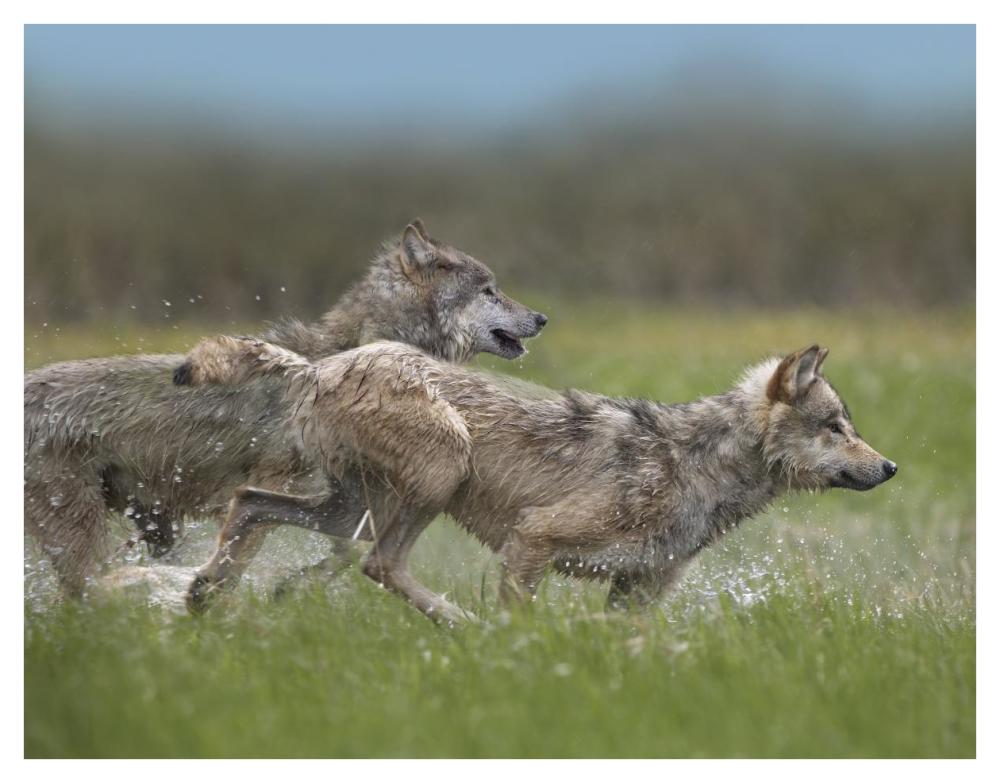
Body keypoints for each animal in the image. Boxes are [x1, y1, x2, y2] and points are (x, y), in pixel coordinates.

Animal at [24, 221, 547, 595]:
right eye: (489, 290)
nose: (542, 317)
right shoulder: (283, 486)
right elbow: (253, 554)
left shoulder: (342, 498)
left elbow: (340, 552)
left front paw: (285, 590)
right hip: (85, 532)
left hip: (149, 522)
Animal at [175, 337, 897, 622]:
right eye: (836, 426)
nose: (891, 466)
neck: (700, 468)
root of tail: (320, 364)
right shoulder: (534, 540)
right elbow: (522, 625)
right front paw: (514, 663)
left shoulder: (637, 592)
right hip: (438, 474)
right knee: (379, 564)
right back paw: (464, 626)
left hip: (352, 512)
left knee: (250, 504)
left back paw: (205, 597)